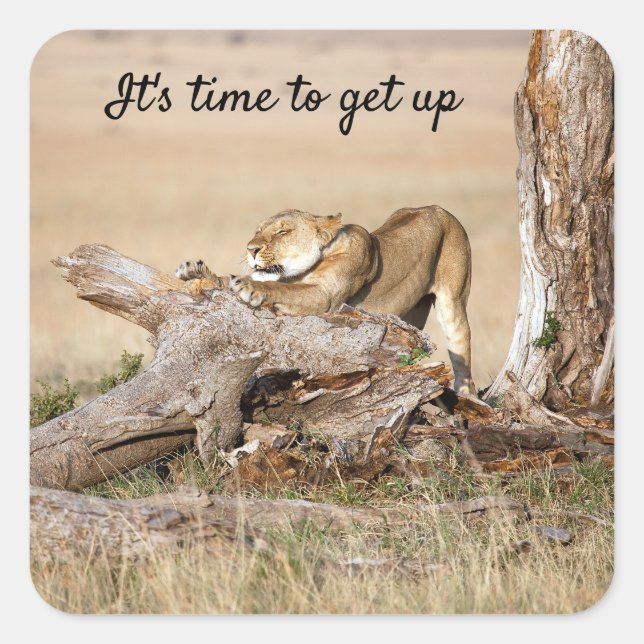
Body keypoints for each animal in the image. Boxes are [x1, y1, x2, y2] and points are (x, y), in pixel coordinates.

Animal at [176, 206, 475, 394]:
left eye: (283, 232)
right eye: (258, 230)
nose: (251, 249)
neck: (300, 272)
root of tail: (437, 208)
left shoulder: (325, 297)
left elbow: (279, 289)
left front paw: (249, 286)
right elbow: (225, 280)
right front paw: (195, 271)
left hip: (454, 304)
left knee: (463, 365)